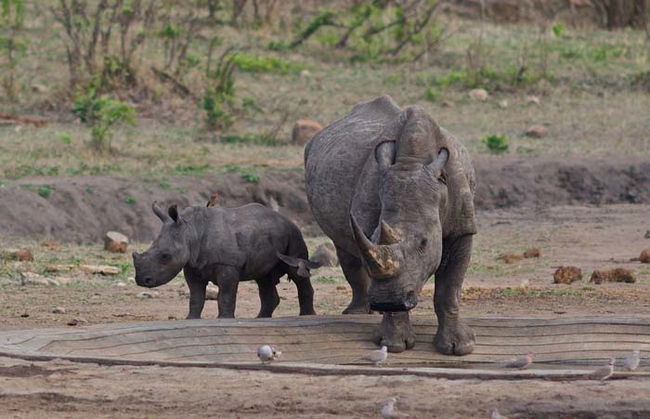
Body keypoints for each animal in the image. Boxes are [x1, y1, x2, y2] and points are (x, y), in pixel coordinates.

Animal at [134, 203, 318, 318]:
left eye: (165, 256)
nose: (142, 280)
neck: (190, 230)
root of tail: (286, 219)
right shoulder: (192, 266)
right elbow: (196, 296)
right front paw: (190, 318)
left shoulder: (228, 265)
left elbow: (225, 294)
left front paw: (224, 318)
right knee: (263, 278)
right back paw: (260, 318)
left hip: (294, 234)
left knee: (296, 272)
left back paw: (306, 315)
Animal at [304, 94, 476, 354]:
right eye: (374, 235)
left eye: (424, 243)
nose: (388, 300)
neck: (412, 161)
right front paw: (393, 344)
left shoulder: (463, 228)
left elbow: (450, 288)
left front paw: (459, 347)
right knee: (343, 246)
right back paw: (358, 313)